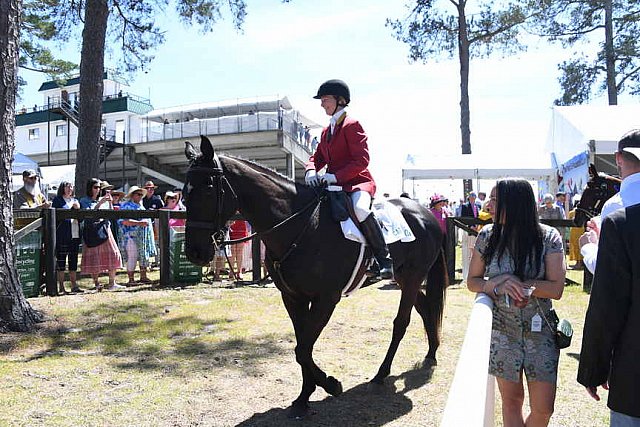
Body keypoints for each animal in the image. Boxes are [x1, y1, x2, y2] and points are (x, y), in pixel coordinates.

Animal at [182, 136, 448, 418]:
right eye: (185, 192)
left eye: (208, 188)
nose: (195, 252)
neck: (300, 225)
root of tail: (425, 213)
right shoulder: (293, 297)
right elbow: (302, 346)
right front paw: (304, 397)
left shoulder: (326, 299)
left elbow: (303, 348)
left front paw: (331, 385)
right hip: (404, 278)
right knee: (425, 307)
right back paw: (431, 353)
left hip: (412, 277)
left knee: (401, 322)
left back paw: (381, 374)